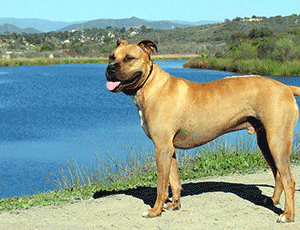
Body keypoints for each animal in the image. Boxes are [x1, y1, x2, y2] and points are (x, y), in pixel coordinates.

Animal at [106, 38, 300, 222]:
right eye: (111, 56)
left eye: (129, 58)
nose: (110, 68)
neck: (151, 86)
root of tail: (285, 86)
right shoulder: (169, 149)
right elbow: (174, 181)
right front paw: (175, 205)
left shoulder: (162, 147)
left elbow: (161, 185)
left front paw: (155, 211)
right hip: (265, 143)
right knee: (278, 175)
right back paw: (273, 200)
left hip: (277, 142)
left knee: (289, 180)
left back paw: (287, 215)